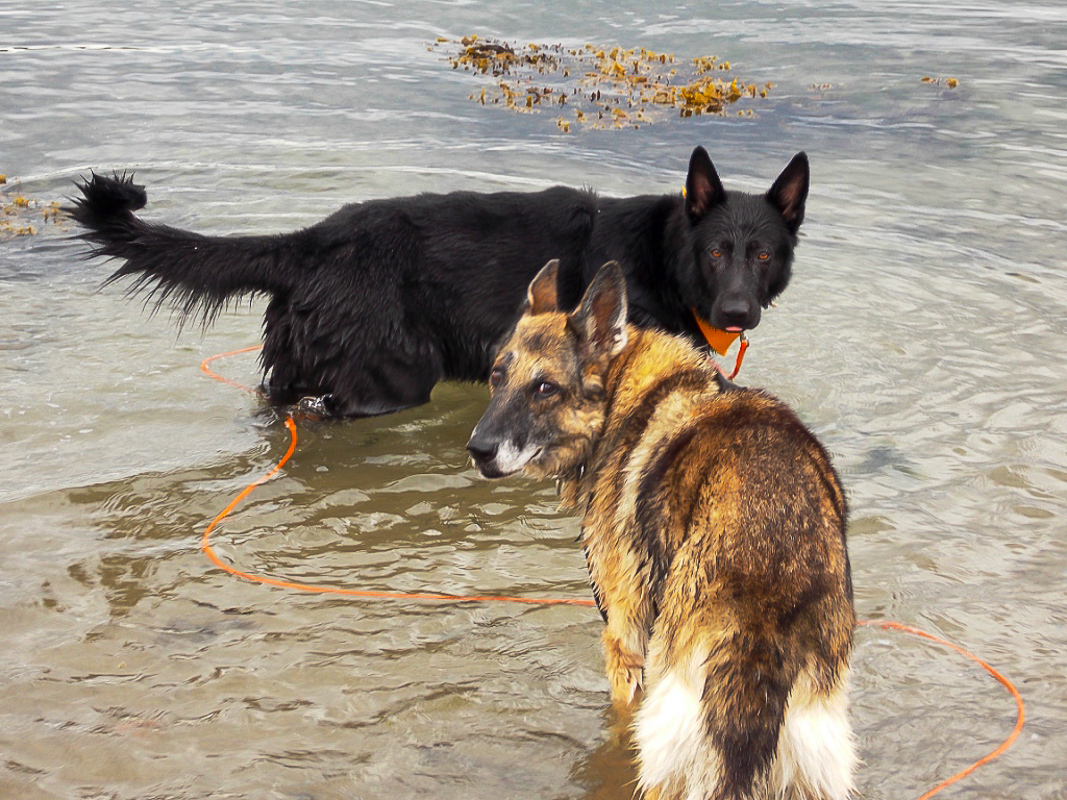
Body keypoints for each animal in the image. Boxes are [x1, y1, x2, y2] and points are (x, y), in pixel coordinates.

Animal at [70, 146, 802, 416]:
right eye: (717, 253)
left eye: (762, 255)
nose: (737, 313)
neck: (663, 253)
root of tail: (311, 242)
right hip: (390, 381)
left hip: (297, 368)